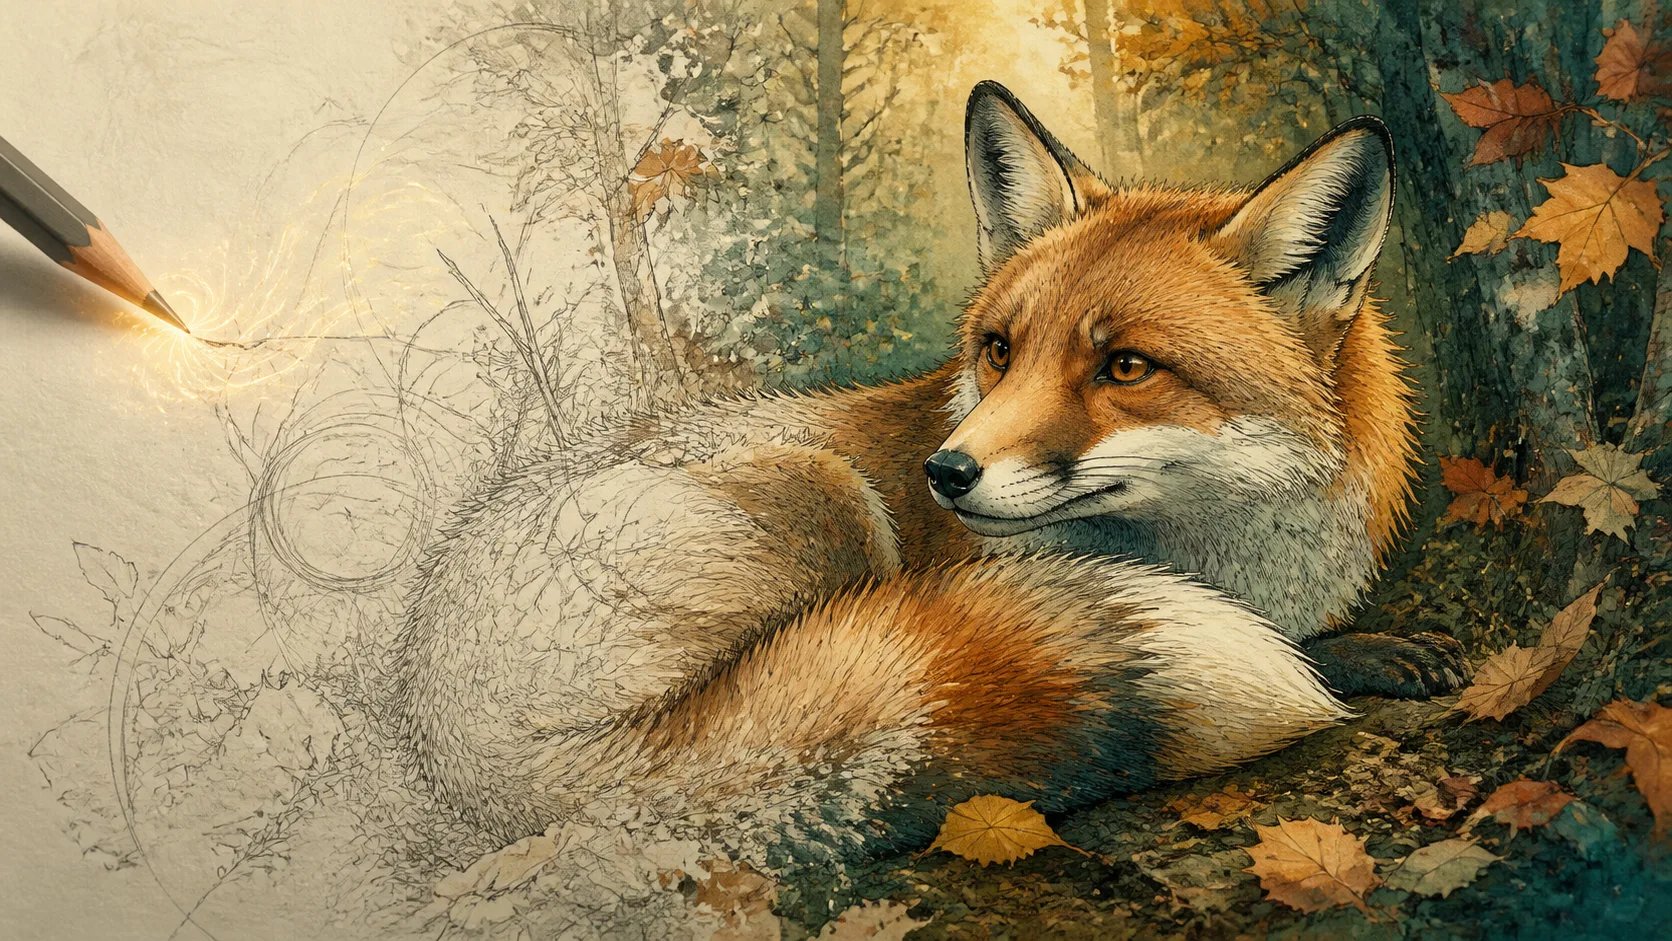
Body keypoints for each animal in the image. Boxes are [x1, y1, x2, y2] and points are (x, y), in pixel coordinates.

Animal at [393, 82, 1466, 852]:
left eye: (1125, 366)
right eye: (998, 349)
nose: (945, 473)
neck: (1228, 556)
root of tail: (440, 723)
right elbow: (1297, 649)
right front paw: (1345, 658)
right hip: (826, 495)